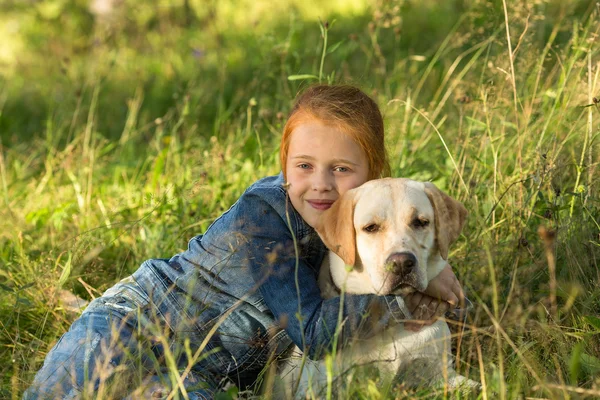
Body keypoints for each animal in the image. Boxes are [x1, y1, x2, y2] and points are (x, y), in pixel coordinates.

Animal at [276, 180, 478, 398]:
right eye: (370, 228)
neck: (392, 324)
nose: (401, 263)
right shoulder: (320, 388)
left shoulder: (442, 375)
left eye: (421, 222)